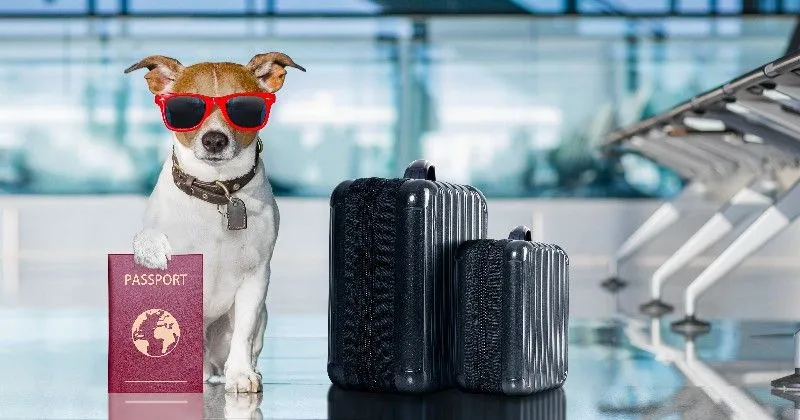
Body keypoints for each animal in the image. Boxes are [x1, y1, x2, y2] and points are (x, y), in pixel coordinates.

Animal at [126, 52, 304, 394]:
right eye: (186, 107)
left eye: (244, 107)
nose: (214, 140)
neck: (217, 191)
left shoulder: (255, 277)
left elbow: (244, 333)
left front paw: (241, 373)